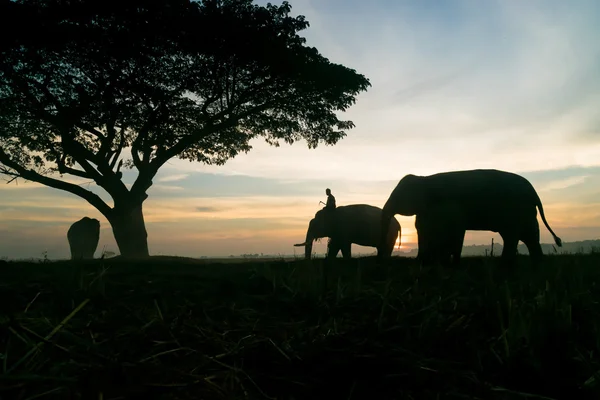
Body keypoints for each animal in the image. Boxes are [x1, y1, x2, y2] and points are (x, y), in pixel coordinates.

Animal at [380, 168, 564, 266]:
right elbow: (425, 228)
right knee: (527, 236)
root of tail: (534, 192)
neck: (424, 179)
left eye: (397, 197)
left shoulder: (448, 206)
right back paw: (536, 264)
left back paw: (506, 264)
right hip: (524, 212)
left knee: (514, 236)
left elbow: (453, 228)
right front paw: (427, 262)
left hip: (516, 210)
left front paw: (448, 263)